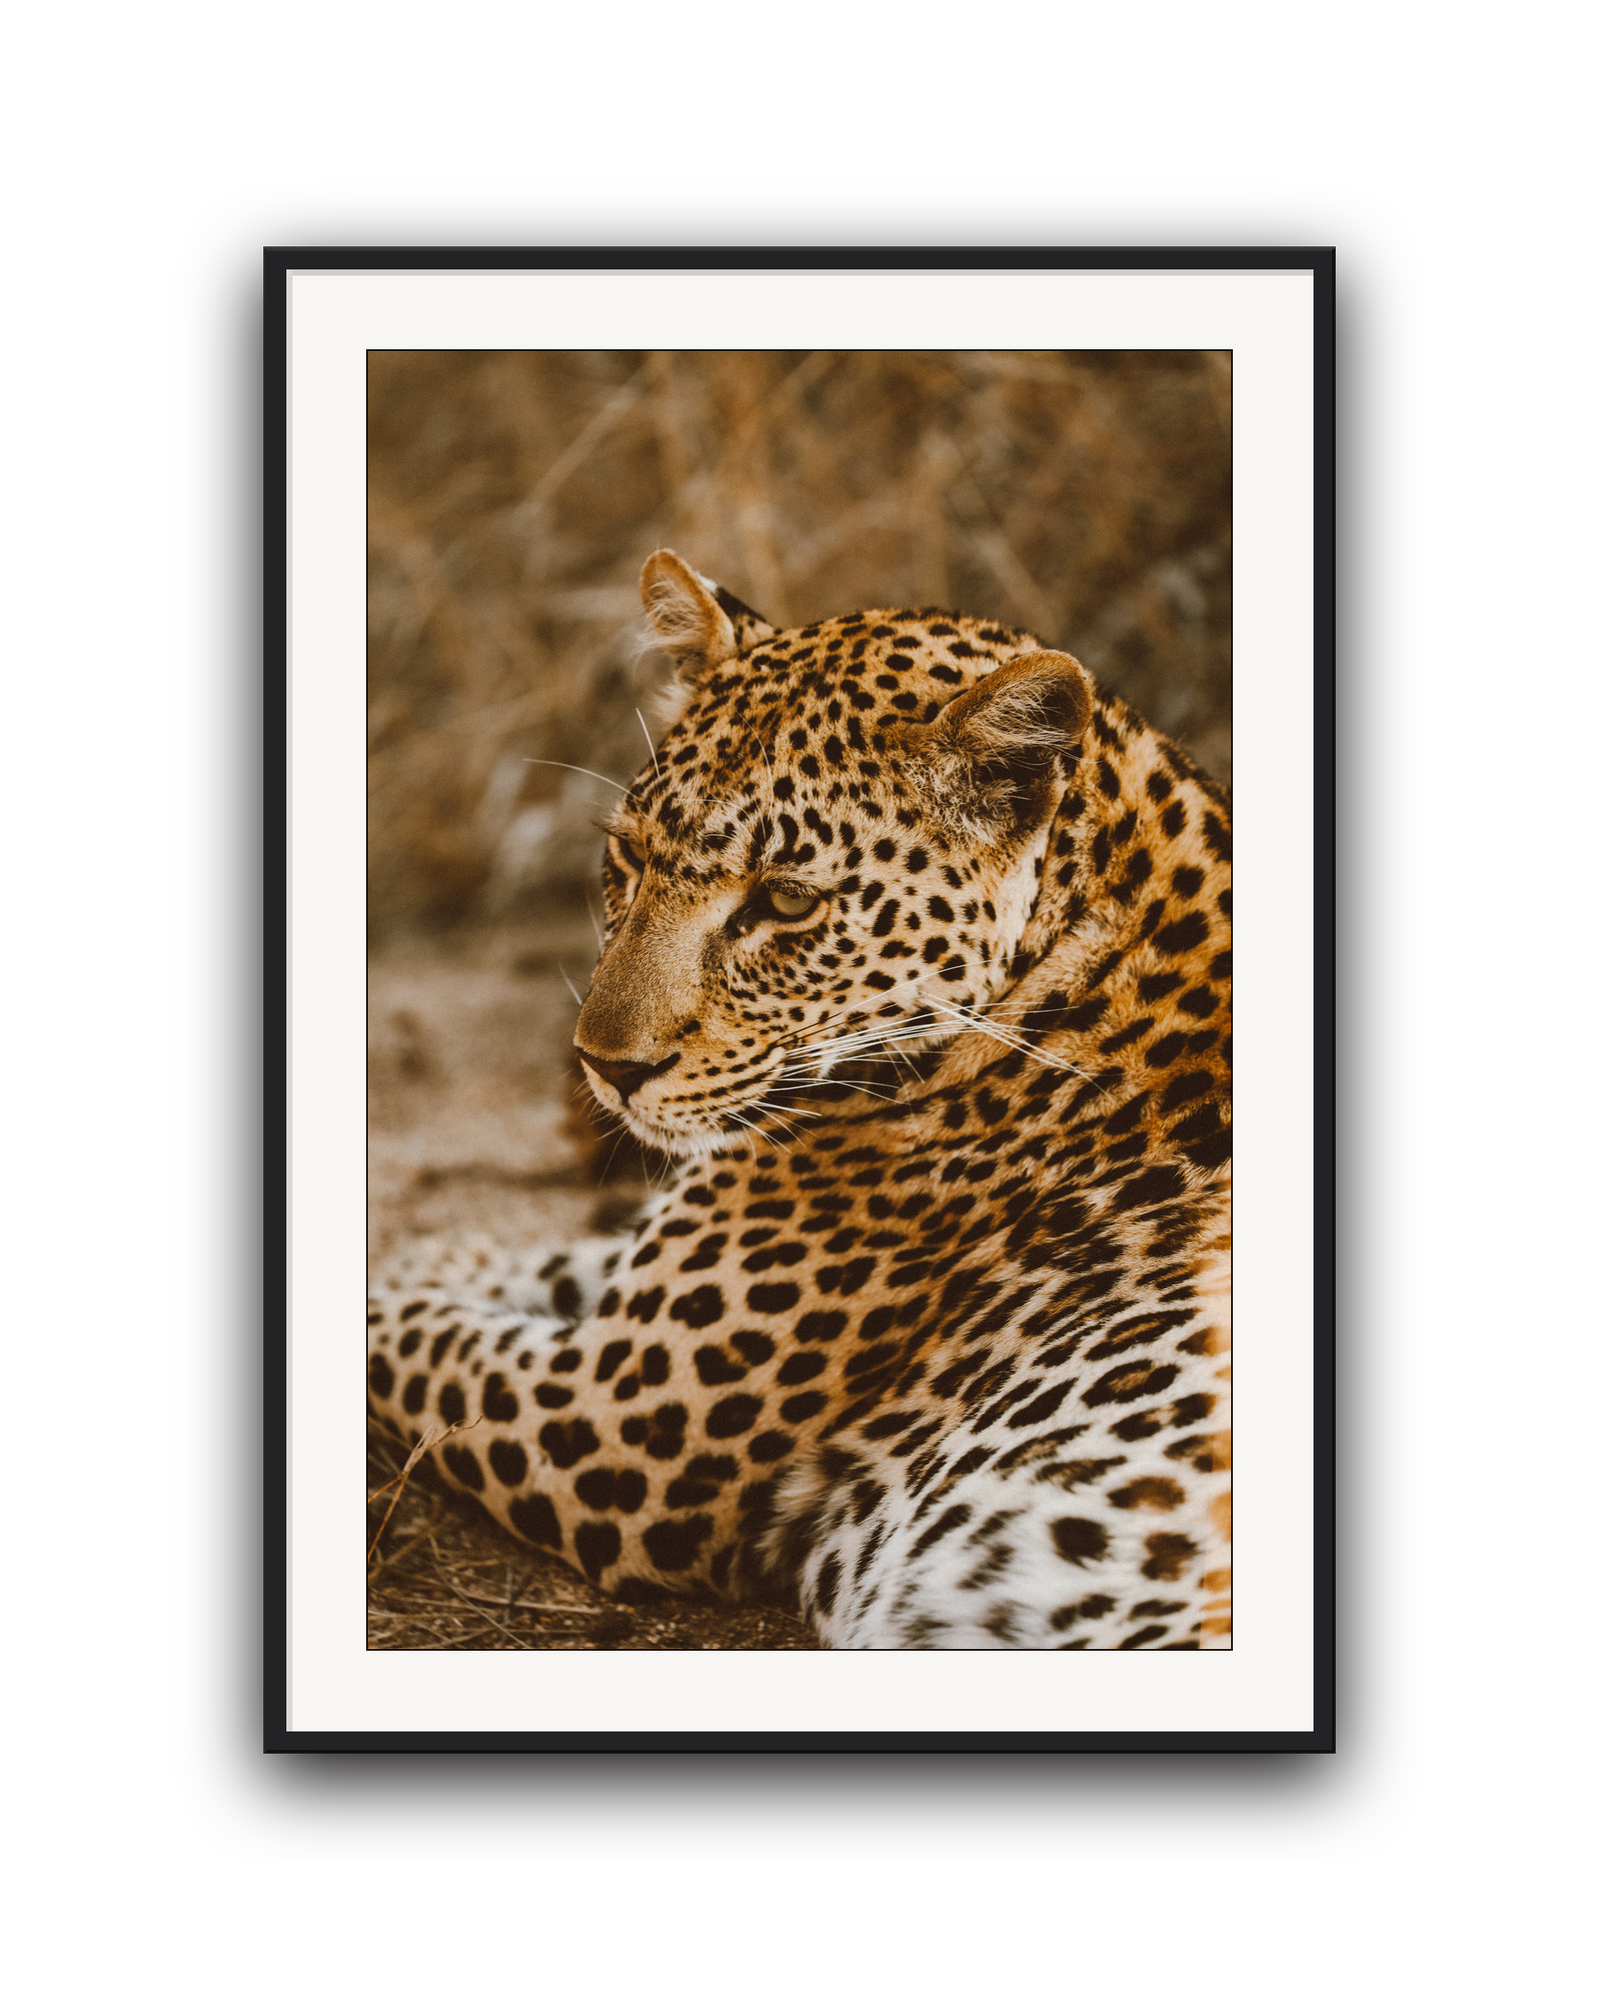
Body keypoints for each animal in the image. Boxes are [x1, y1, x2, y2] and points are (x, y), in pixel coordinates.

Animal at [368, 549, 1232, 1650]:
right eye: (631, 857)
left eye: (783, 901)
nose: (604, 1065)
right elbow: (556, 1260)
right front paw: (448, 1255)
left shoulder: (603, 1419)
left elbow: (409, 1338)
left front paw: (409, 1274)